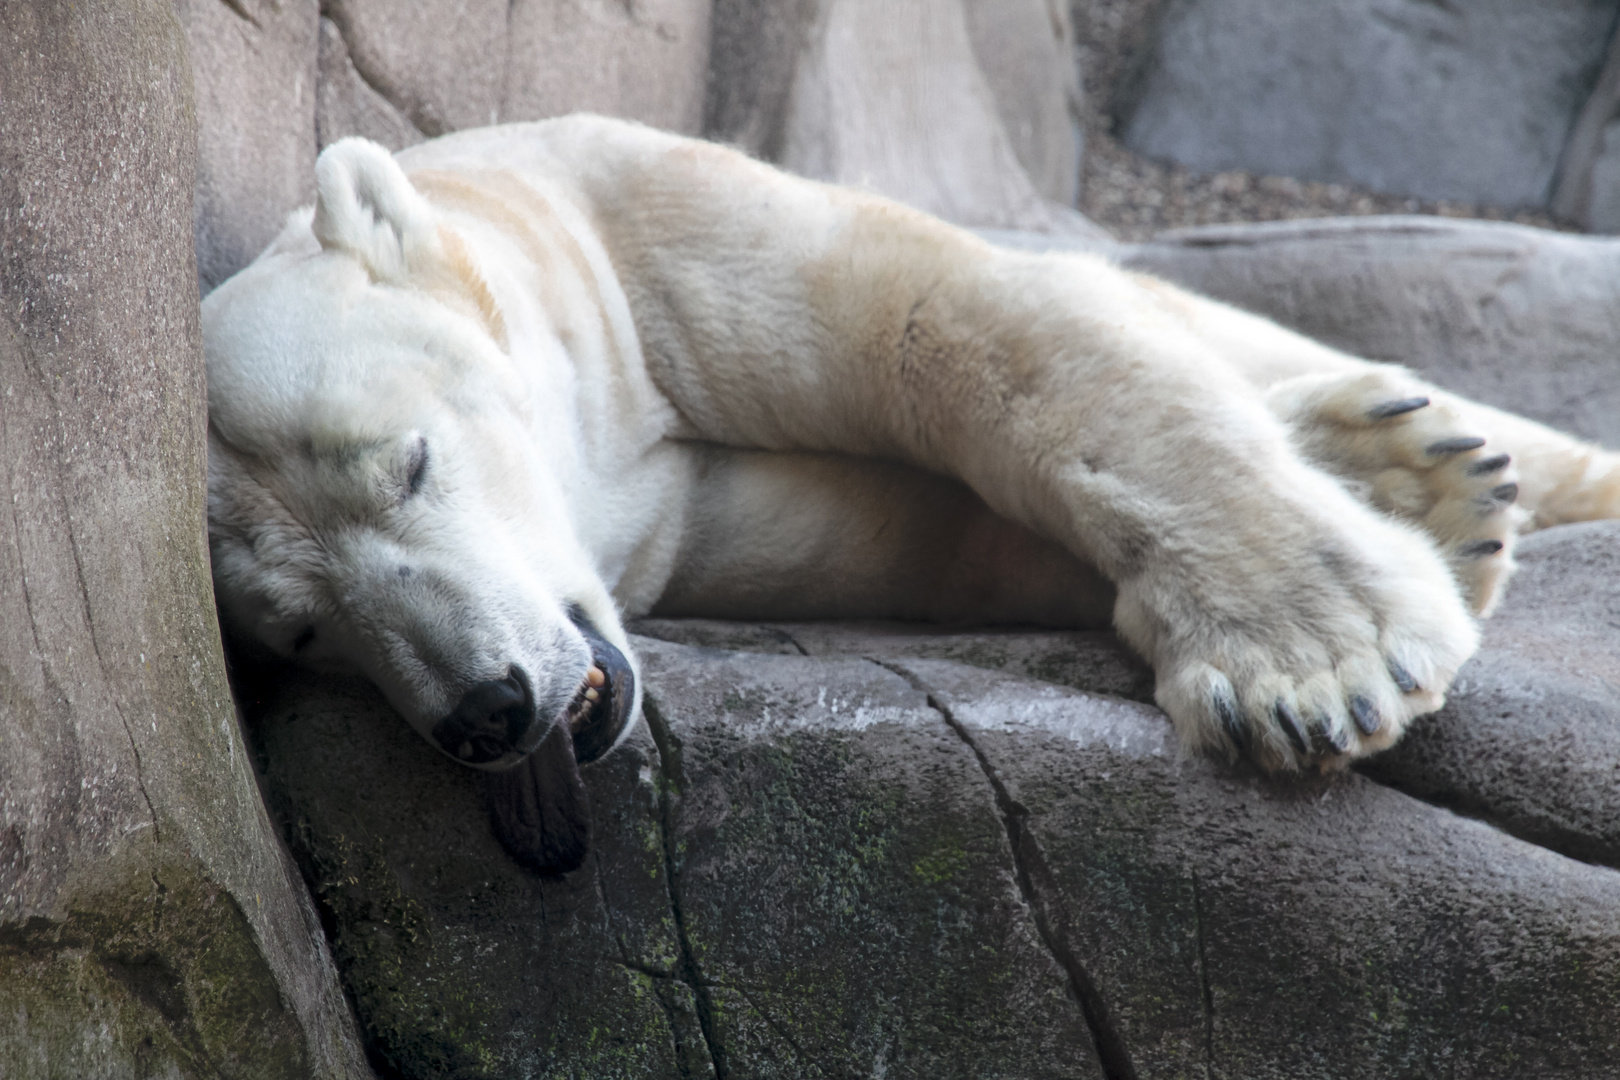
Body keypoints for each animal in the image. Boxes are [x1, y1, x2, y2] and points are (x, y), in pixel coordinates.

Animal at [202, 110, 1620, 867]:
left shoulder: (632, 234)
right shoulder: (671, 518)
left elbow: (952, 323)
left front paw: (1318, 666)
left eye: (410, 463)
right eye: (304, 633)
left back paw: (1441, 462)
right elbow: (894, 531)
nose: (490, 709)